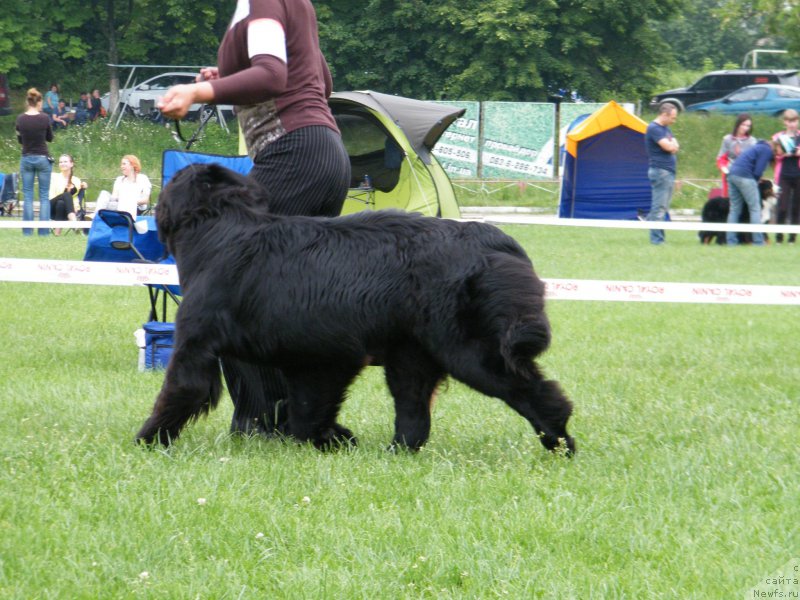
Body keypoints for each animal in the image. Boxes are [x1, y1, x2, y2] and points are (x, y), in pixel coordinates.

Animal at [138, 164, 576, 454]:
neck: (219, 230)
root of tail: (495, 241)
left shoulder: (198, 343)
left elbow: (180, 389)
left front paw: (149, 437)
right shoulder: (317, 358)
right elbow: (308, 411)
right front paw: (336, 439)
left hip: (469, 351)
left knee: (532, 390)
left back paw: (559, 440)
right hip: (411, 357)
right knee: (414, 412)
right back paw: (397, 453)